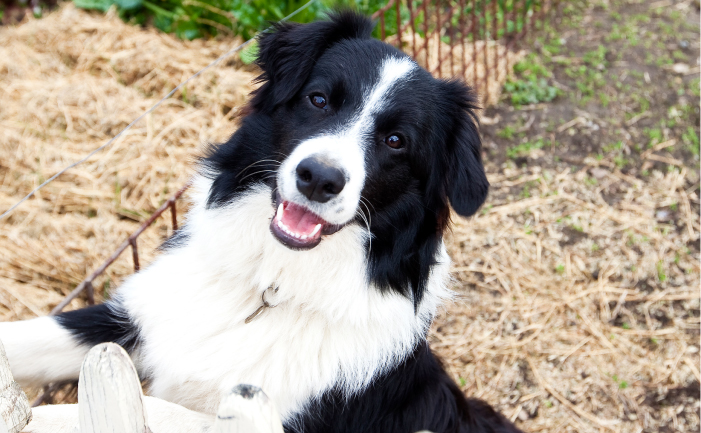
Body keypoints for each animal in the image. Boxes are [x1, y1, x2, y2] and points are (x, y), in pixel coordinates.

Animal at [2, 11, 524, 430]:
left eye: (396, 141)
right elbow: (31, 337)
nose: (319, 178)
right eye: (319, 100)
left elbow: (157, 411)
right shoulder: (133, 318)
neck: (272, 285)